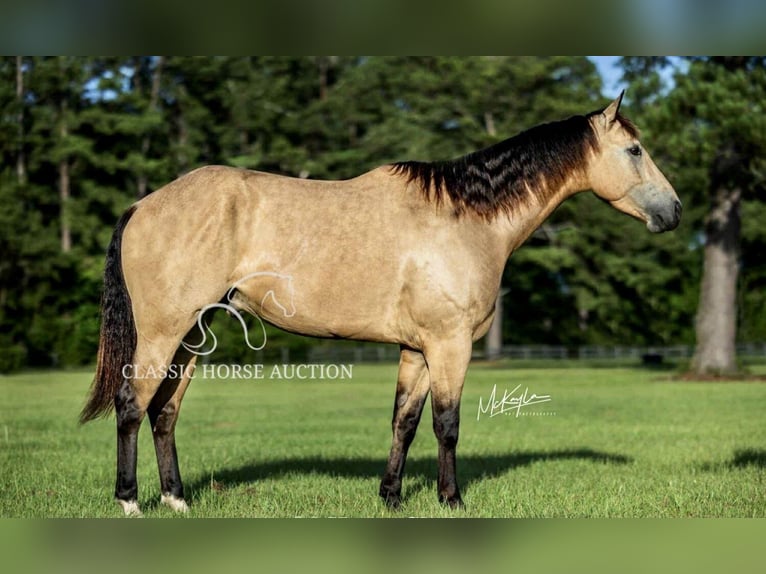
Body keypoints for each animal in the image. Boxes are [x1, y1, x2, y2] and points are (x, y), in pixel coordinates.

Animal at [80, 92, 681, 516]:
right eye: (634, 150)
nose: (674, 212)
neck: (466, 218)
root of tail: (143, 204)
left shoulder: (416, 349)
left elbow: (404, 421)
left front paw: (391, 496)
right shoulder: (449, 344)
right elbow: (446, 424)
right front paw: (451, 499)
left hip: (192, 336)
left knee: (164, 411)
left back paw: (177, 500)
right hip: (163, 333)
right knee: (133, 405)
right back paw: (129, 501)